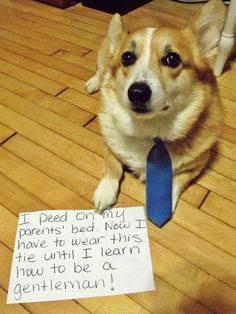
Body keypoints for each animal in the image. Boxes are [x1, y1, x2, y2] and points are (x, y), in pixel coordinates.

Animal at [85, 0, 226, 213]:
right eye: (127, 58)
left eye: (172, 59)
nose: (137, 93)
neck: (152, 129)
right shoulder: (110, 143)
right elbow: (112, 167)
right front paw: (105, 192)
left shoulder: (197, 164)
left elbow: (176, 180)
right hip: (104, 55)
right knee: (101, 70)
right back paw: (94, 82)